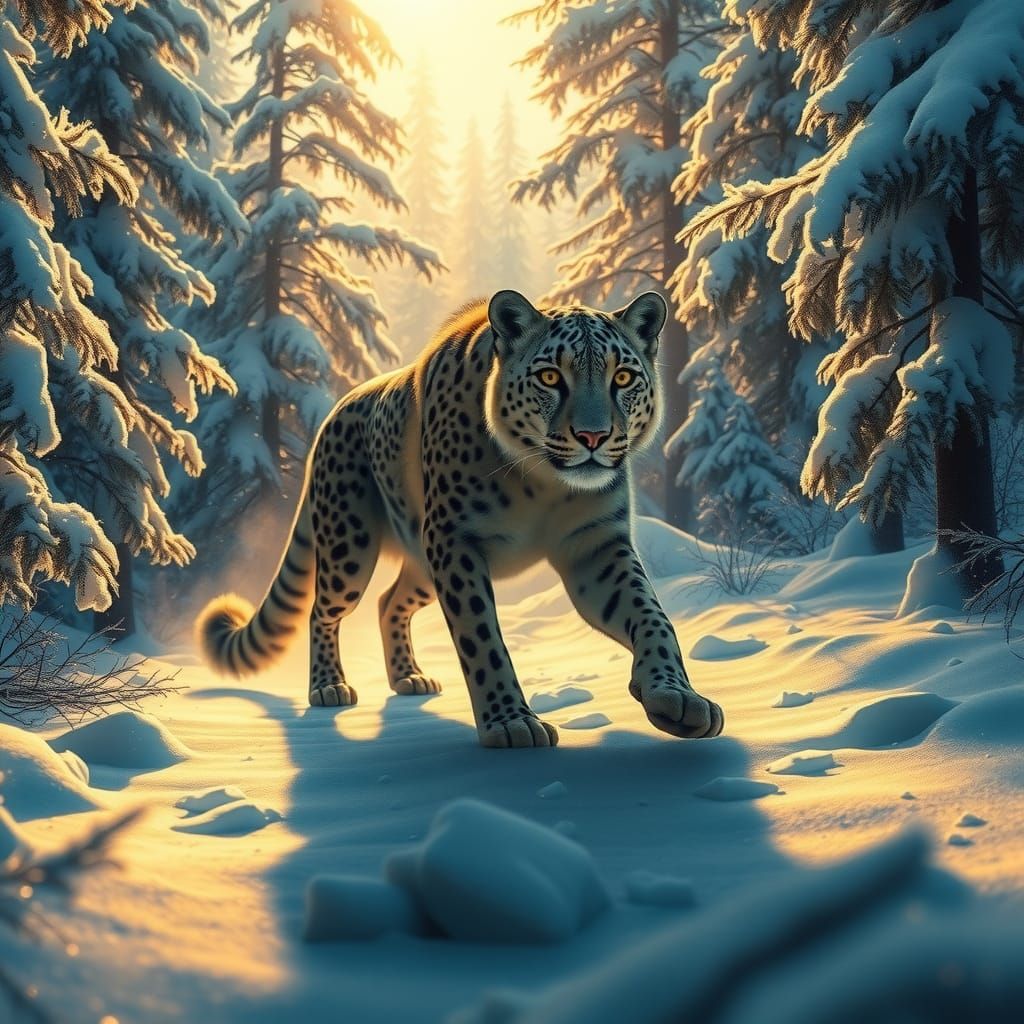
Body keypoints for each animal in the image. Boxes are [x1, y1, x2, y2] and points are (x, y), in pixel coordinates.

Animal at [196, 290, 724, 748]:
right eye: (551, 378)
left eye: (623, 379)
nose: (593, 437)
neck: (543, 484)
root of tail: (333, 413)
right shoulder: (456, 542)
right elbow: (482, 637)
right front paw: (511, 724)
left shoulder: (595, 545)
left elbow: (652, 616)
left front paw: (677, 698)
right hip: (350, 547)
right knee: (323, 610)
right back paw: (328, 687)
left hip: (420, 563)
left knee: (389, 601)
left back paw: (408, 676)